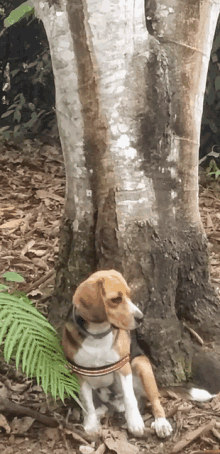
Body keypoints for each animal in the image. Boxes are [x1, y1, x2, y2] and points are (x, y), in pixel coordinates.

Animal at [62, 270, 175, 436]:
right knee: (99, 405)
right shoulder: (80, 375)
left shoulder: (123, 367)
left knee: (155, 401)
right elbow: (87, 403)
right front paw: (91, 424)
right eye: (115, 299)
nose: (141, 318)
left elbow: (129, 398)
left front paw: (135, 422)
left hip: (141, 364)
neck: (97, 335)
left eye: (129, 295)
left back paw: (161, 423)